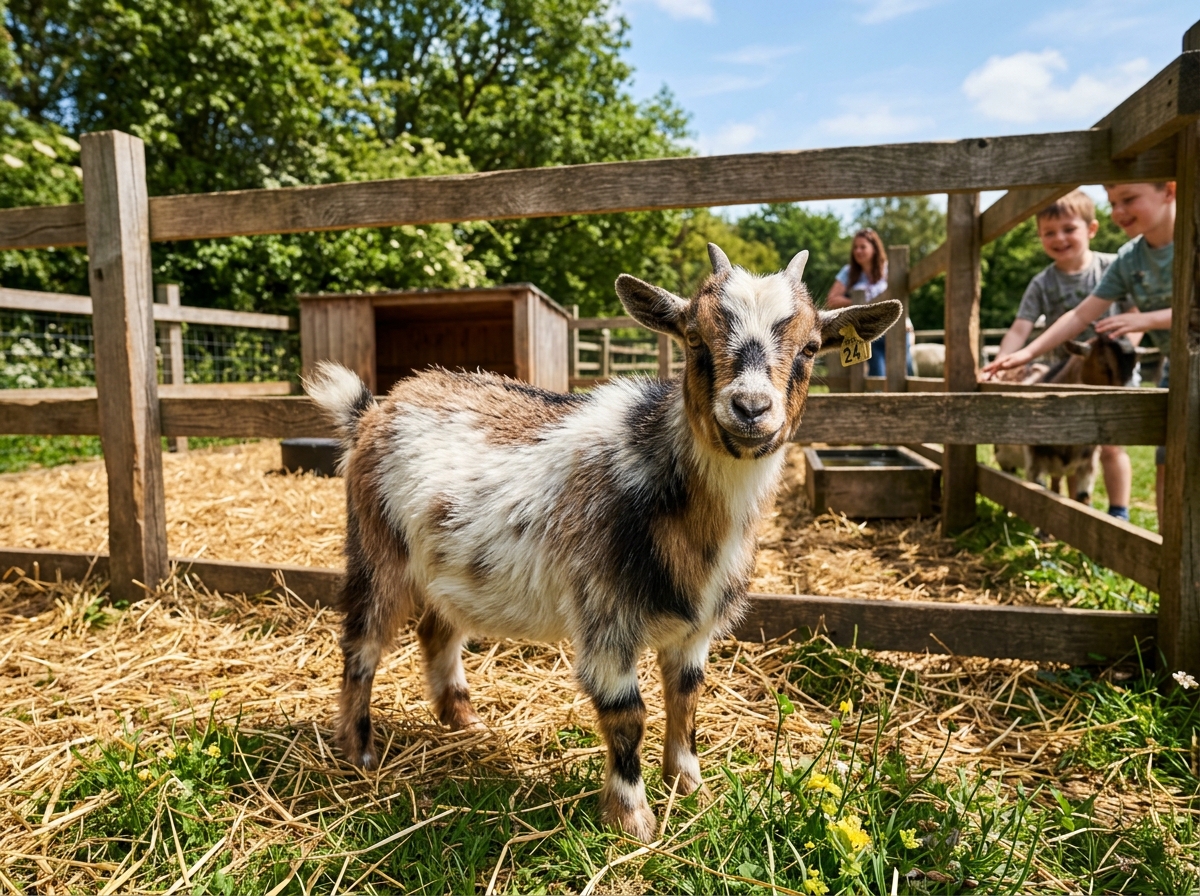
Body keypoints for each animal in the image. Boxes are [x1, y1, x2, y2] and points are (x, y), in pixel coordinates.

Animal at [305, 244, 901, 840]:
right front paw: (632, 818)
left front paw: (689, 786)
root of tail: (372, 410)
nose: (751, 408)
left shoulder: (697, 625)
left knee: (437, 632)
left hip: (449, 567)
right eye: (694, 338)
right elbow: (626, 713)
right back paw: (359, 751)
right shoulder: (605, 614)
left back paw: (465, 722)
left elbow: (686, 696)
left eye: (811, 348)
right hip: (378, 547)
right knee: (362, 642)